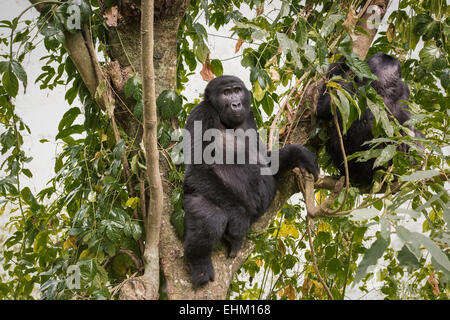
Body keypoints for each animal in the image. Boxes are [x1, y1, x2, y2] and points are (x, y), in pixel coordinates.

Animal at [181, 75, 318, 288]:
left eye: (237, 90)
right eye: (226, 93)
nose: (236, 103)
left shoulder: (249, 115)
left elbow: (266, 160)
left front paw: (297, 154)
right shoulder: (201, 114)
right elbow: (198, 168)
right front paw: (238, 219)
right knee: (210, 214)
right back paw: (200, 263)